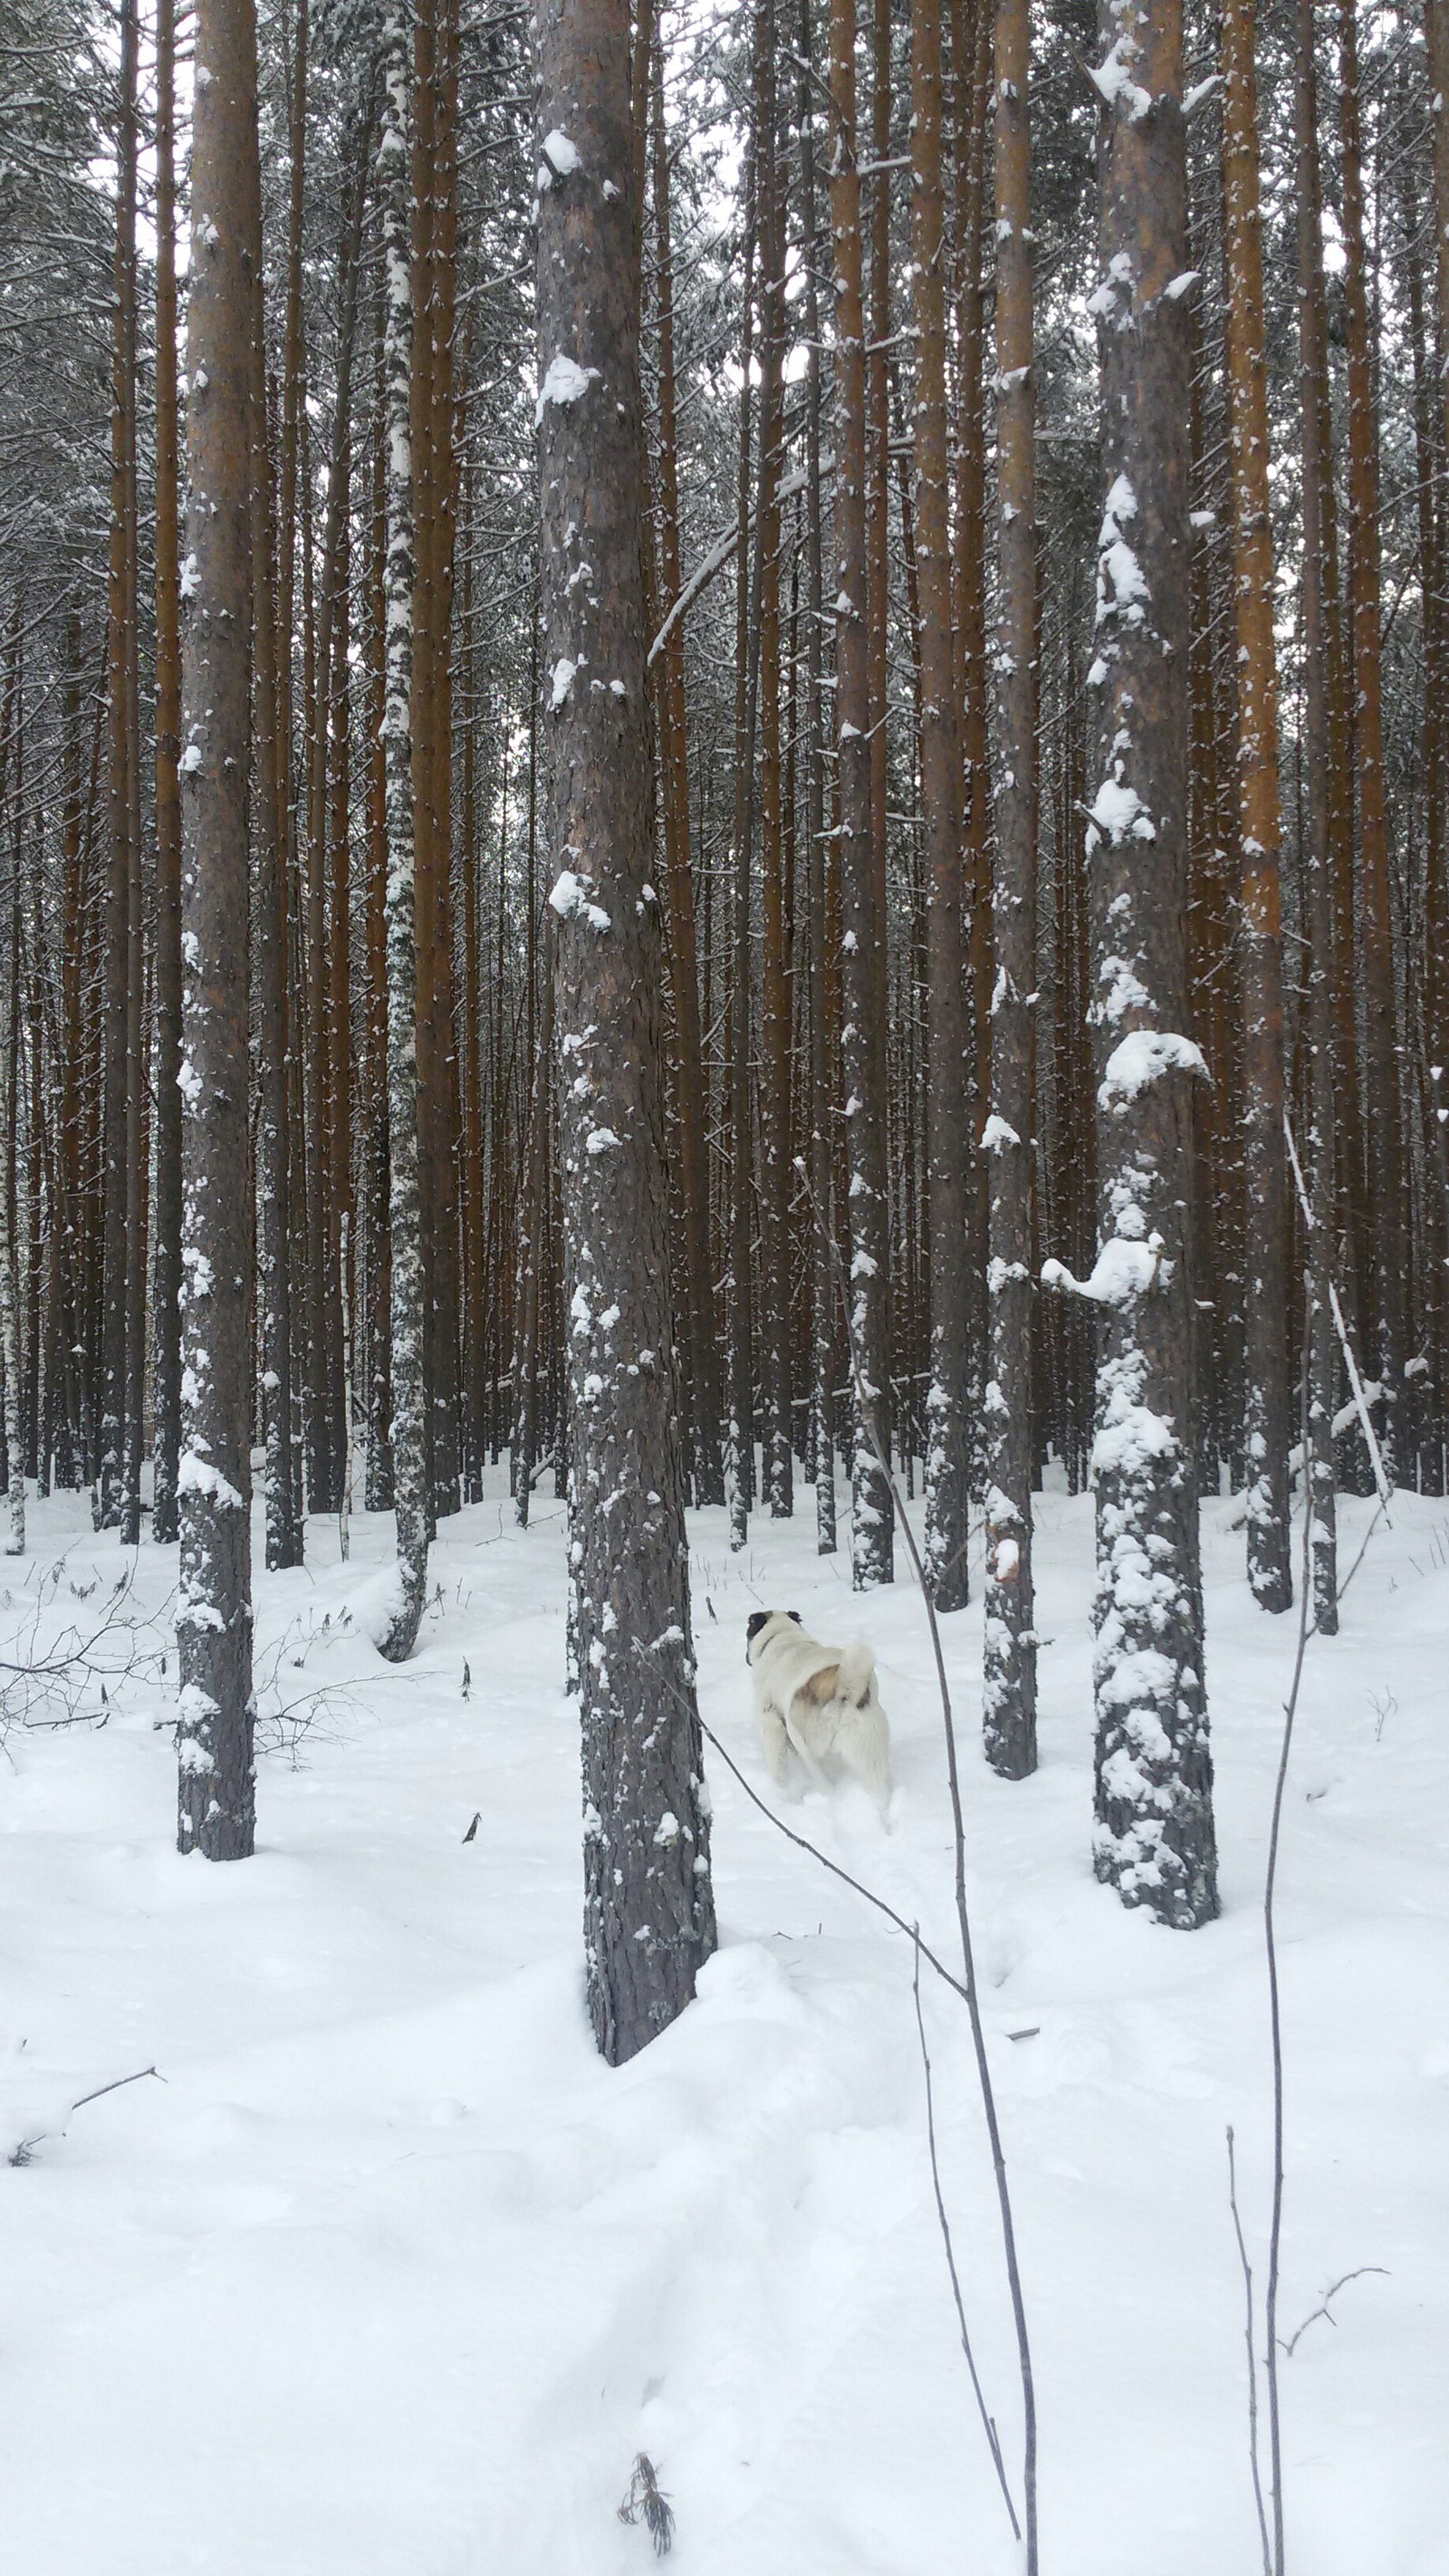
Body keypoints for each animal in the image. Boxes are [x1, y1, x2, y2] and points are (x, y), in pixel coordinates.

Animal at [756, 1607, 890, 1813]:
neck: (782, 1635)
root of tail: (843, 1691)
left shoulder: (771, 1722)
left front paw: (780, 1784)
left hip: (806, 1744)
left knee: (823, 1780)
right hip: (869, 1749)